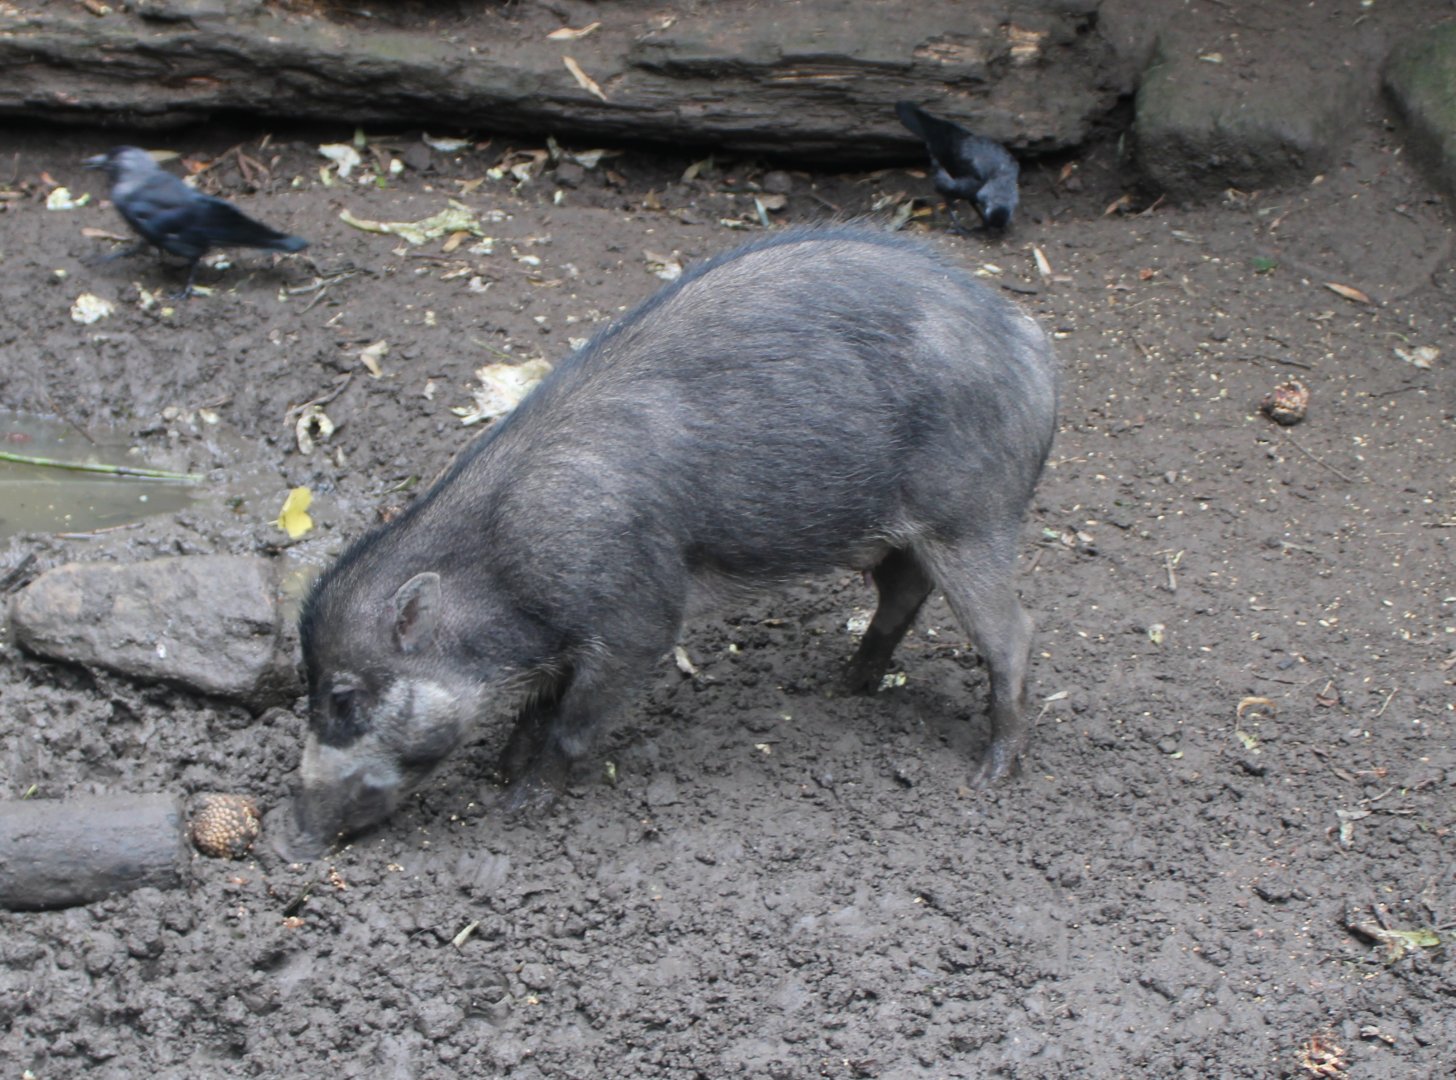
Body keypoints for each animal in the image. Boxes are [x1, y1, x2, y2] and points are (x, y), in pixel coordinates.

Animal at [284, 225, 1058, 859]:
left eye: (344, 698)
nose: (292, 843)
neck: (502, 568)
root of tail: (1029, 342)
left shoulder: (639, 618)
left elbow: (571, 723)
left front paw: (519, 804)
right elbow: (537, 710)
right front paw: (502, 771)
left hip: (972, 517)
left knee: (1015, 631)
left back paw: (988, 778)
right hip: (902, 533)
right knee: (904, 593)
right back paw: (843, 685)